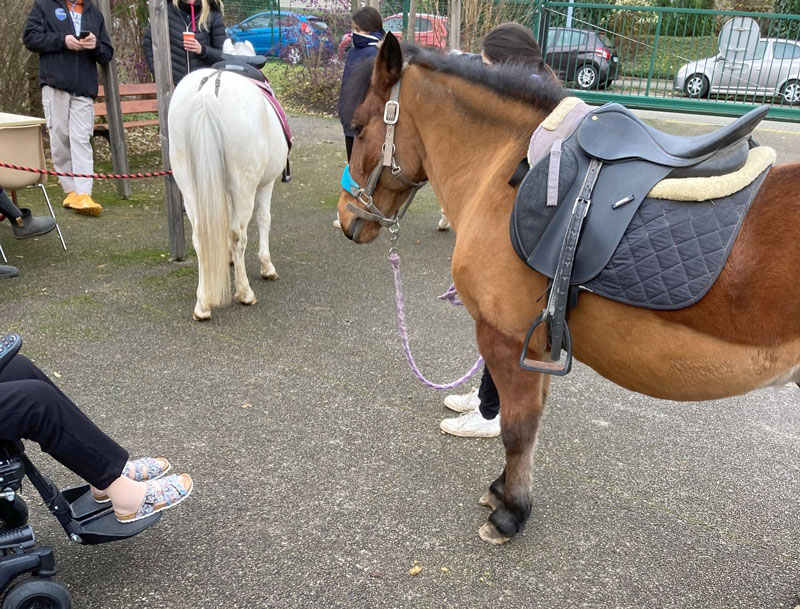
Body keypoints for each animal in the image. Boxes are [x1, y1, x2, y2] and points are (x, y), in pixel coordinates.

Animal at [167, 39, 290, 320]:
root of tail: (207, 92)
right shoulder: (265, 184)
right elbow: (264, 219)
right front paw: (267, 266)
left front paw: (227, 260)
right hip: (244, 186)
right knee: (237, 234)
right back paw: (244, 293)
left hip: (189, 185)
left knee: (200, 234)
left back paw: (202, 304)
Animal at [334, 34, 796, 540]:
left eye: (357, 127)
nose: (346, 218)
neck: (505, 170)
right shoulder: (535, 345)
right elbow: (530, 422)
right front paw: (504, 491)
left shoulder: (505, 338)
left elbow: (517, 428)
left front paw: (511, 512)